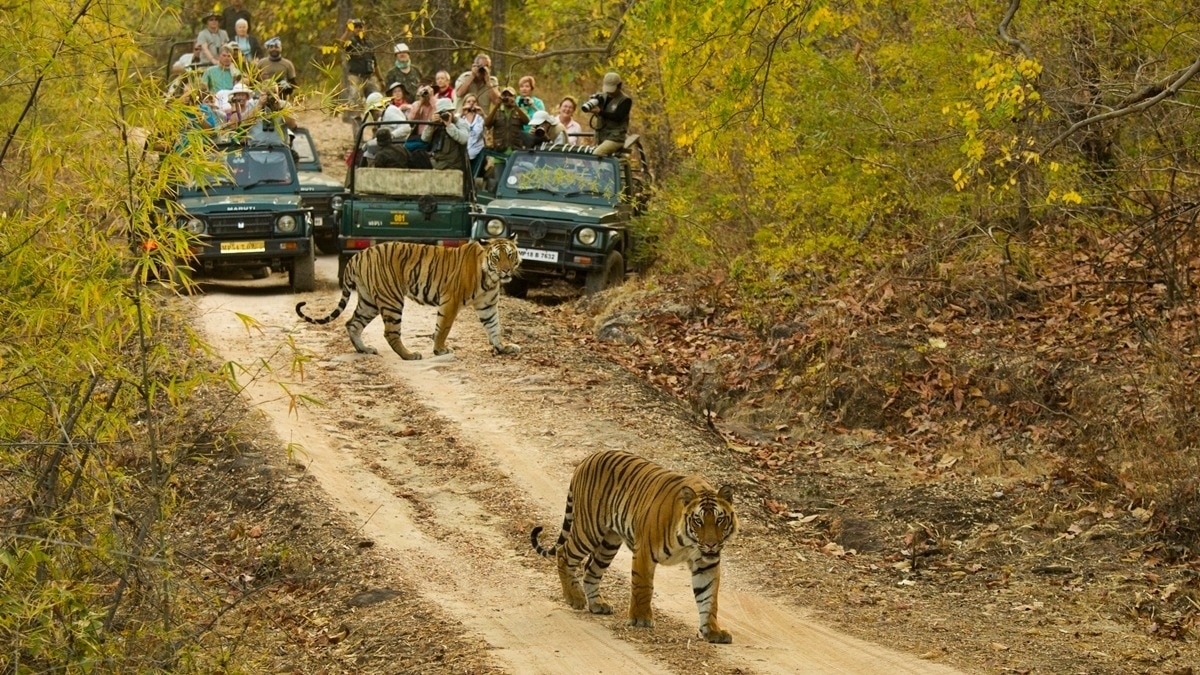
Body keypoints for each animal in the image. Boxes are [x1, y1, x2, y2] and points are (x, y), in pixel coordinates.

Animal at [295, 237, 521, 360]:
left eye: (510, 255)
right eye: (496, 257)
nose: (506, 270)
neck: (490, 278)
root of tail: (357, 256)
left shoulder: (487, 305)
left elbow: (494, 326)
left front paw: (503, 347)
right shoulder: (450, 300)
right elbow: (443, 327)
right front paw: (440, 349)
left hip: (368, 302)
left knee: (352, 323)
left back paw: (364, 349)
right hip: (392, 299)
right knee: (390, 333)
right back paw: (409, 355)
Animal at [530, 449, 739, 644]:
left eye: (720, 520)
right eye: (698, 521)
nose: (711, 544)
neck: (689, 543)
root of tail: (588, 457)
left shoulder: (706, 564)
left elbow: (709, 598)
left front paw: (712, 631)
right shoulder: (644, 552)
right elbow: (643, 586)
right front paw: (641, 620)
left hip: (609, 542)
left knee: (591, 569)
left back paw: (597, 604)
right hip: (589, 530)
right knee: (563, 553)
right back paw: (574, 598)